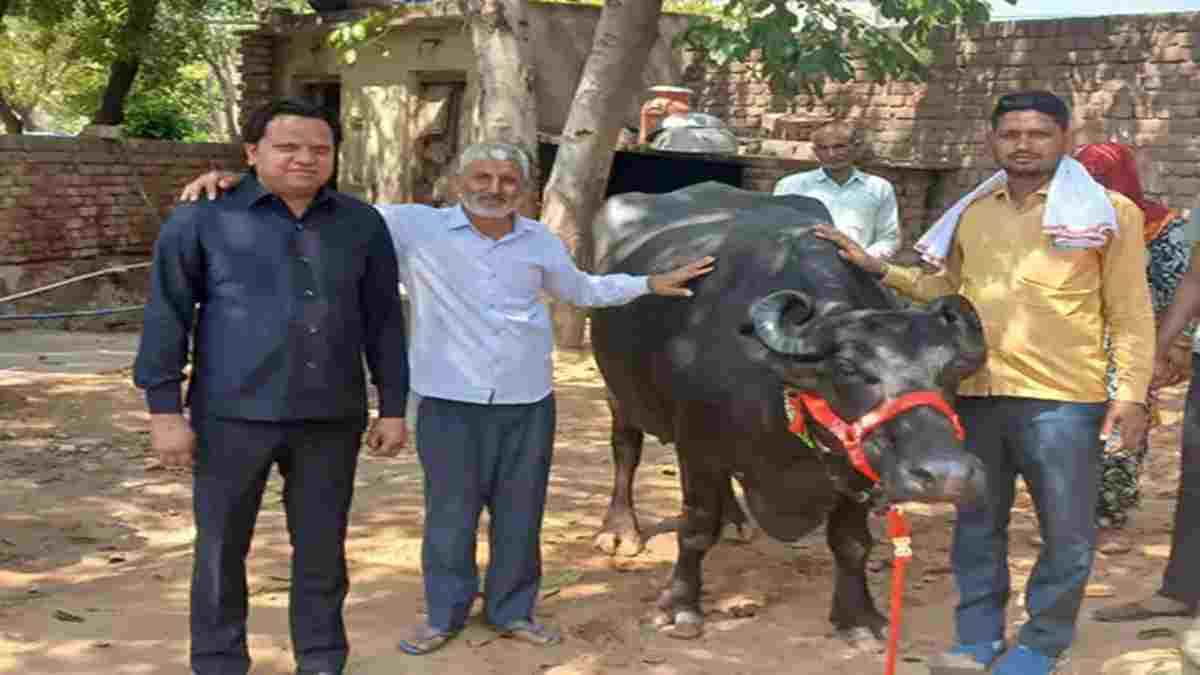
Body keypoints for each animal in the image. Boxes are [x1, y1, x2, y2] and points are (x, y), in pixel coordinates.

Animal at [588, 182, 987, 644]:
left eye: (950, 370)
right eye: (848, 368)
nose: (946, 475)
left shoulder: (853, 465)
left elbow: (852, 542)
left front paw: (858, 616)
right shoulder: (697, 447)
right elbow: (697, 527)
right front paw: (680, 607)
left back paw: (735, 519)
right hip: (617, 390)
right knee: (626, 448)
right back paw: (619, 531)